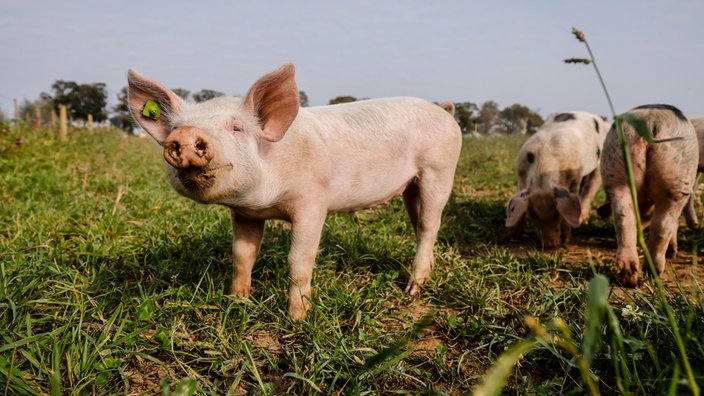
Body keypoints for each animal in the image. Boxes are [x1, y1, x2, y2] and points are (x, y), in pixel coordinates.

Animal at [600, 103, 700, 286]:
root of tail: (652, 119)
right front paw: (673, 252)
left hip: (616, 167)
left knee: (624, 218)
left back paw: (628, 277)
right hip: (679, 177)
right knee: (664, 224)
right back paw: (654, 271)